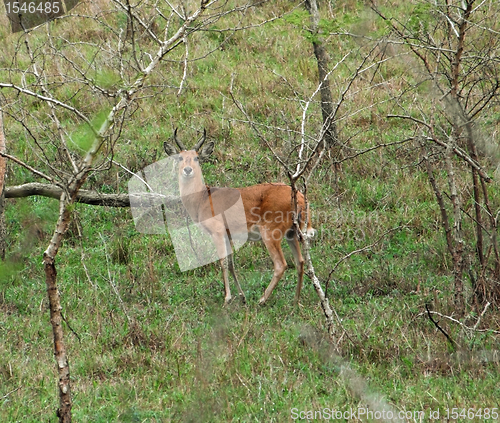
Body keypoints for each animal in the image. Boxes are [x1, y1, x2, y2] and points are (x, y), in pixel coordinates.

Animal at [165, 129, 316, 304]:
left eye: (196, 157)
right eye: (180, 157)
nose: (188, 170)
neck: (203, 197)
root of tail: (300, 197)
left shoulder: (217, 232)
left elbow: (223, 262)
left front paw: (227, 298)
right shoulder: (228, 235)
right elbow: (231, 263)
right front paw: (242, 296)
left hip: (271, 233)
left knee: (281, 264)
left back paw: (262, 300)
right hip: (291, 233)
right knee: (300, 262)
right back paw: (296, 301)